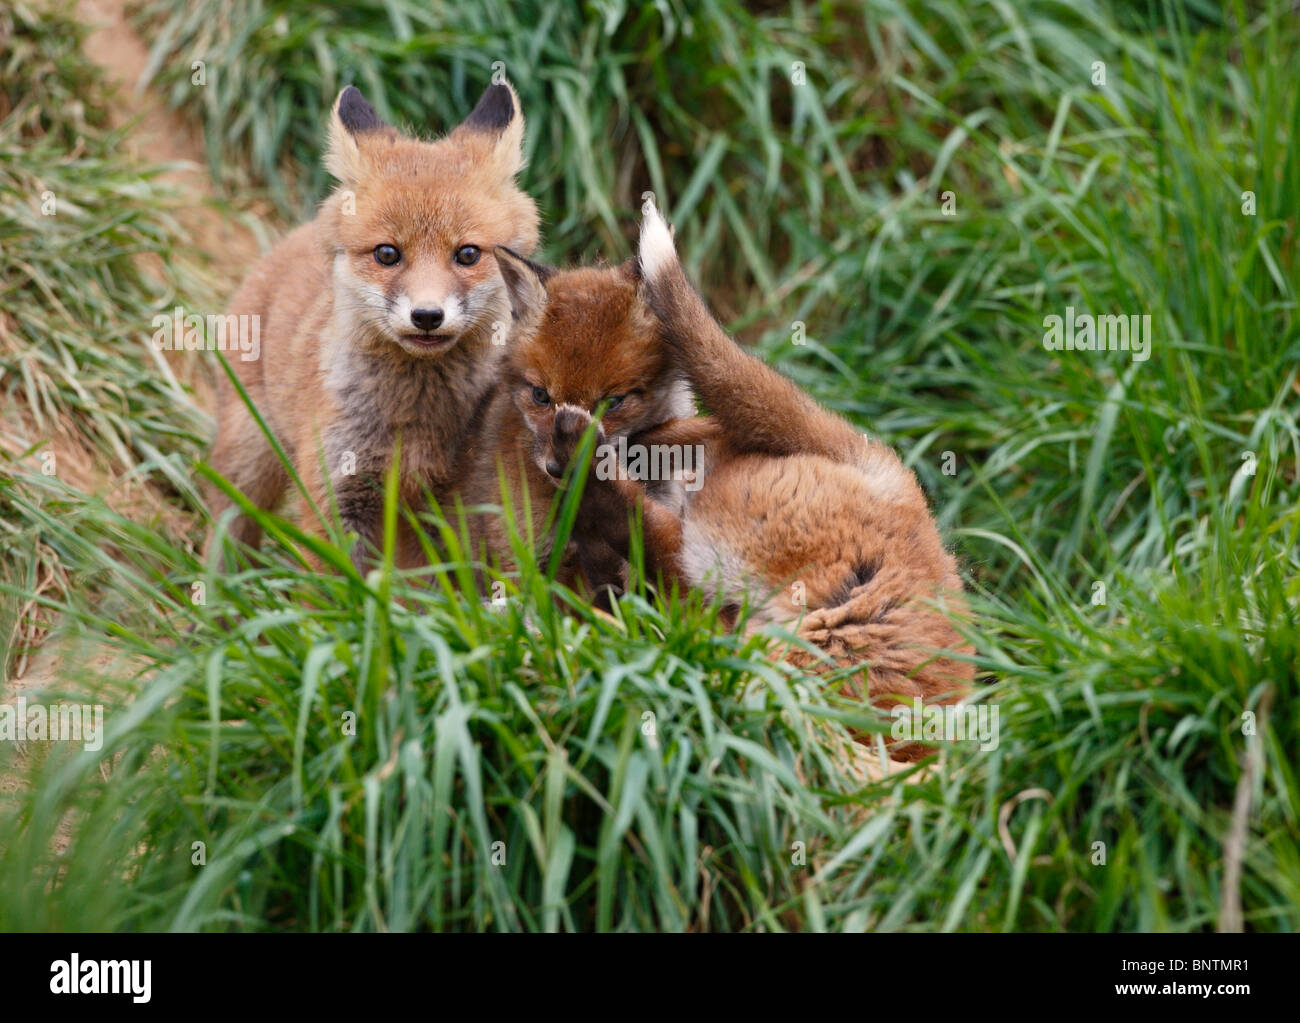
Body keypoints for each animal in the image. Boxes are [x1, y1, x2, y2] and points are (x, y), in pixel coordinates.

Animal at [206, 83, 538, 571]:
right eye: (387, 254)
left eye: (468, 254)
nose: (427, 316)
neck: (416, 421)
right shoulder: (337, 495)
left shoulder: (455, 504)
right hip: (248, 461)